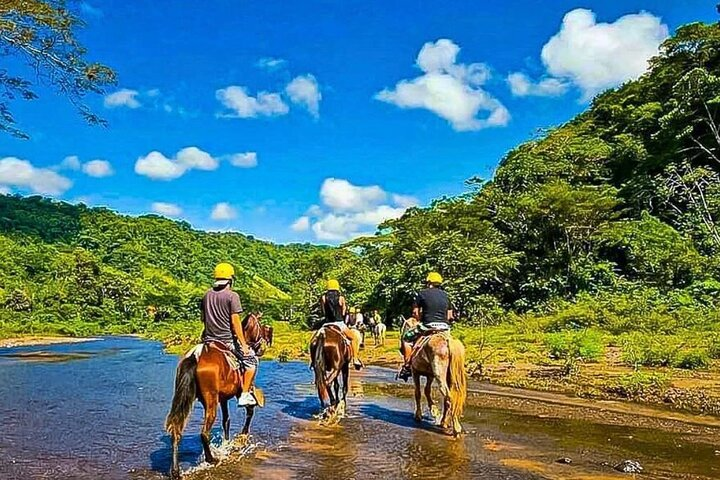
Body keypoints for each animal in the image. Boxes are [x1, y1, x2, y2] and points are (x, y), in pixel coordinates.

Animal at [165, 314, 268, 478]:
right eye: (261, 325)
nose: (261, 348)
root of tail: (195, 356)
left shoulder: (223, 399)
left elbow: (226, 420)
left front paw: (226, 443)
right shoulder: (240, 392)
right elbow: (250, 411)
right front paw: (243, 436)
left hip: (190, 398)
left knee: (176, 430)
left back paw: (176, 471)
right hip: (211, 400)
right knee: (204, 433)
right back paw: (211, 459)